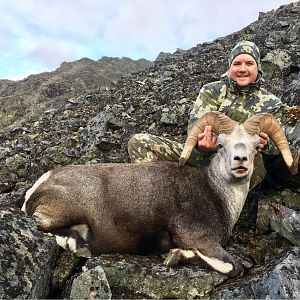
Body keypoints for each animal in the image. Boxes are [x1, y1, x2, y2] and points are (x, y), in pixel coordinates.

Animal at [19, 112, 300, 276]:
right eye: (221, 145)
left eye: (255, 146)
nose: (240, 160)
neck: (216, 194)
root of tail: (42, 184)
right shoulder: (198, 238)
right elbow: (234, 267)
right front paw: (175, 257)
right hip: (66, 210)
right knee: (40, 226)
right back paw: (79, 245)